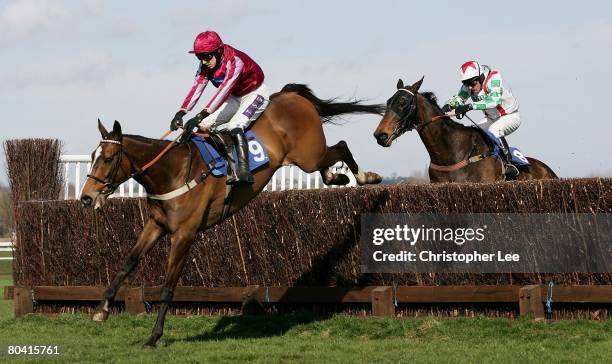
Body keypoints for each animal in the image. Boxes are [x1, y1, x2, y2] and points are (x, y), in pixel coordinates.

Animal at [77, 84, 382, 348]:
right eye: (92, 155)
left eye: (107, 159)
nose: (86, 197)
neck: (172, 172)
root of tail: (289, 95)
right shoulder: (156, 224)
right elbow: (128, 262)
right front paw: (102, 309)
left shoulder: (185, 234)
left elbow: (168, 286)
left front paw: (154, 336)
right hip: (308, 157)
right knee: (331, 159)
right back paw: (336, 177)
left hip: (309, 154)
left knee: (341, 146)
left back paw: (366, 176)